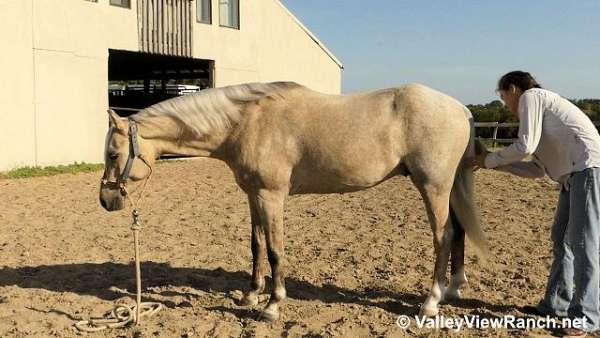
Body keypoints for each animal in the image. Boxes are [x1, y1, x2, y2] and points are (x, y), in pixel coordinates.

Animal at [98, 81, 486, 320]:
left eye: (113, 154)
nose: (106, 200)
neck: (246, 123)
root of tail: (460, 109)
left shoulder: (271, 196)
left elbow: (274, 251)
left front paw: (272, 305)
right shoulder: (253, 195)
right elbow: (255, 245)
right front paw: (250, 296)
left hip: (433, 186)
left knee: (443, 236)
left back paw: (430, 302)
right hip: (447, 187)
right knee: (458, 232)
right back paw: (452, 288)